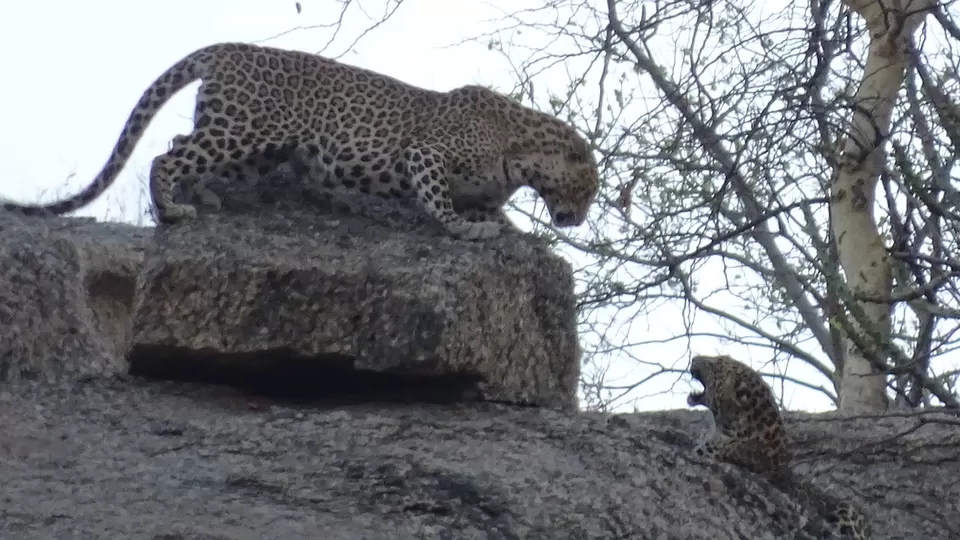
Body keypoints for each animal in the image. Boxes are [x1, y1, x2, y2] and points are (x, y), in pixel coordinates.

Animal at [1, 42, 599, 240]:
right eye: (590, 190)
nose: (578, 220)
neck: (524, 155)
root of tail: (225, 48)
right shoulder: (425, 154)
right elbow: (440, 203)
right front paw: (464, 229)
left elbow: (501, 216)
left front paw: (521, 234)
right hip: (241, 131)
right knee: (166, 154)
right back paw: (173, 210)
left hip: (255, 146)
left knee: (179, 139)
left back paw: (204, 196)